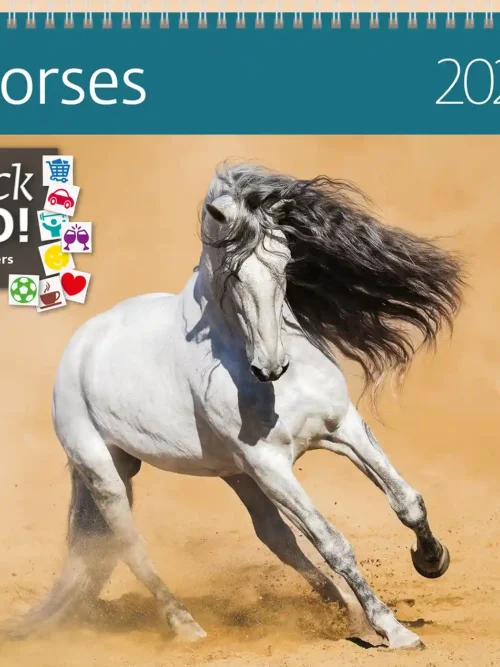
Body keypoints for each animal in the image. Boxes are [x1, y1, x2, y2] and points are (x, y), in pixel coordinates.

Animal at [5, 163, 464, 649]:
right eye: (233, 274)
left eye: (286, 261)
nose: (270, 365)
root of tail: (81, 344)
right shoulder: (269, 465)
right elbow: (333, 543)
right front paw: (393, 630)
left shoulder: (343, 428)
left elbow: (406, 501)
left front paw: (432, 560)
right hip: (106, 473)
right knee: (131, 547)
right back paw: (187, 626)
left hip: (235, 474)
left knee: (277, 538)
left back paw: (344, 610)